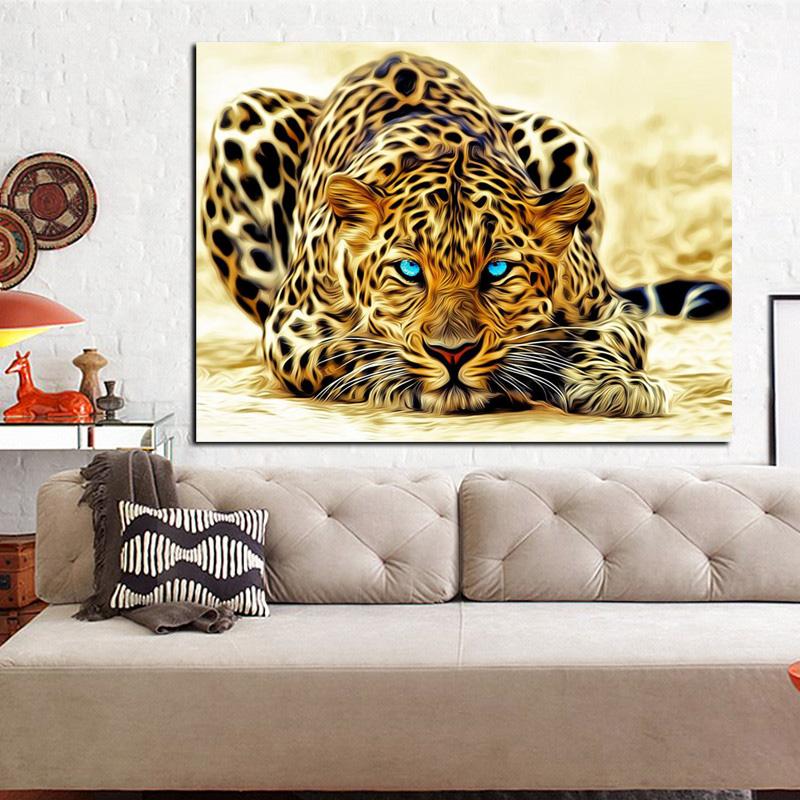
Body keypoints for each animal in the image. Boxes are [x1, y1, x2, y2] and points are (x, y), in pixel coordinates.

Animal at [200, 51, 729, 417]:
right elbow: (351, 350)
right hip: (243, 116)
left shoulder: (610, 310)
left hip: (561, 134)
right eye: (409, 270)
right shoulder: (292, 328)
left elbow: (592, 339)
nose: (452, 353)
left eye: (497, 269)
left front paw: (615, 384)